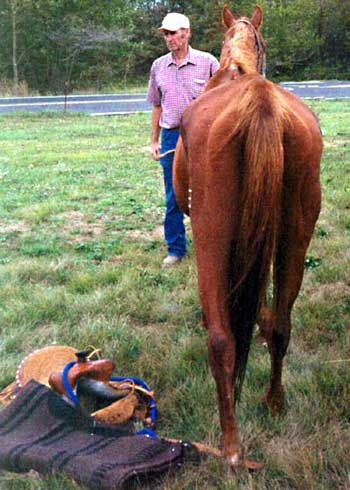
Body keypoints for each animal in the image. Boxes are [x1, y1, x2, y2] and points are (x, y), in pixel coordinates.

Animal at [174, 6, 322, 468]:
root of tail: (261, 102)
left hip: (211, 233)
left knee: (221, 342)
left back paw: (231, 447)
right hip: (295, 236)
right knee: (282, 325)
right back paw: (274, 402)